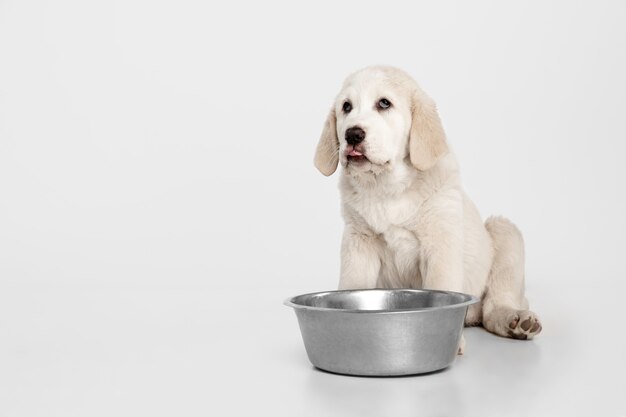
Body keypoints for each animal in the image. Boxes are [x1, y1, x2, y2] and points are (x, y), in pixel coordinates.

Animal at [314, 66, 540, 352]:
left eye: (384, 103)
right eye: (346, 107)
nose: (352, 135)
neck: (389, 187)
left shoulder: (440, 241)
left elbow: (441, 284)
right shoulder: (358, 241)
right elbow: (352, 285)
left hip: (504, 231)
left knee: (495, 305)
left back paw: (516, 320)